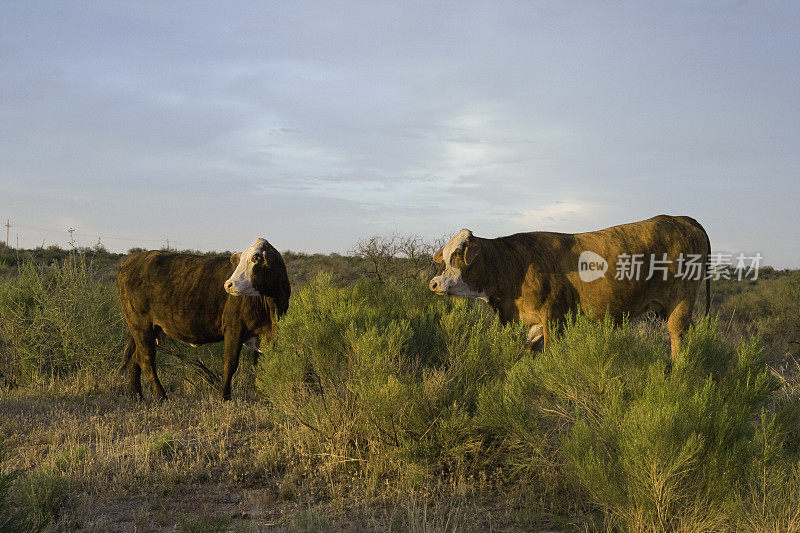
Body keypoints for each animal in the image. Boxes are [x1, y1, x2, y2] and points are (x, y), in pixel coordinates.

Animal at [117, 238, 292, 400]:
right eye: (242, 258)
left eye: (256, 257)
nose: (228, 284)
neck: (271, 307)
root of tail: (133, 259)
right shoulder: (234, 328)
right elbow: (230, 363)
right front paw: (224, 397)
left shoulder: (265, 334)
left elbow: (260, 366)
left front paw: (262, 398)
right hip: (141, 325)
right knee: (146, 359)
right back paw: (161, 397)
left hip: (143, 329)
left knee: (136, 358)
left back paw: (136, 395)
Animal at [432, 214, 712, 356]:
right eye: (443, 257)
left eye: (458, 254)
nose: (434, 284)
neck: (515, 264)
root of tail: (681, 219)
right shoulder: (531, 322)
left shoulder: (554, 317)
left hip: (681, 302)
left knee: (677, 337)